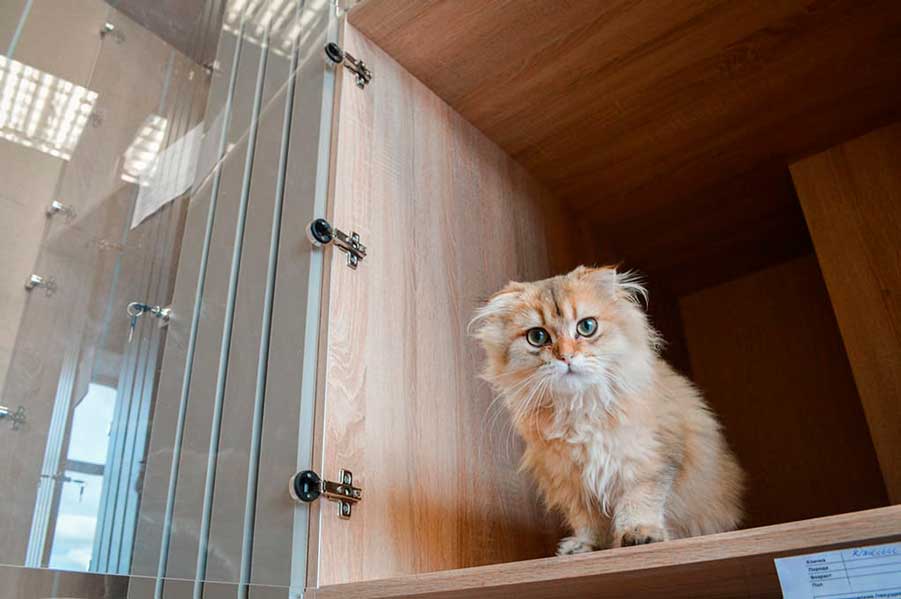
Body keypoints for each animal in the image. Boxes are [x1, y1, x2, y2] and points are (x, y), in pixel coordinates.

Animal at [472, 265, 744, 554]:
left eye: (587, 327)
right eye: (537, 336)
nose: (566, 357)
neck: (579, 407)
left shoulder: (650, 463)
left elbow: (639, 503)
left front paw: (640, 534)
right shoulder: (573, 484)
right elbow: (589, 521)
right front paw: (587, 546)